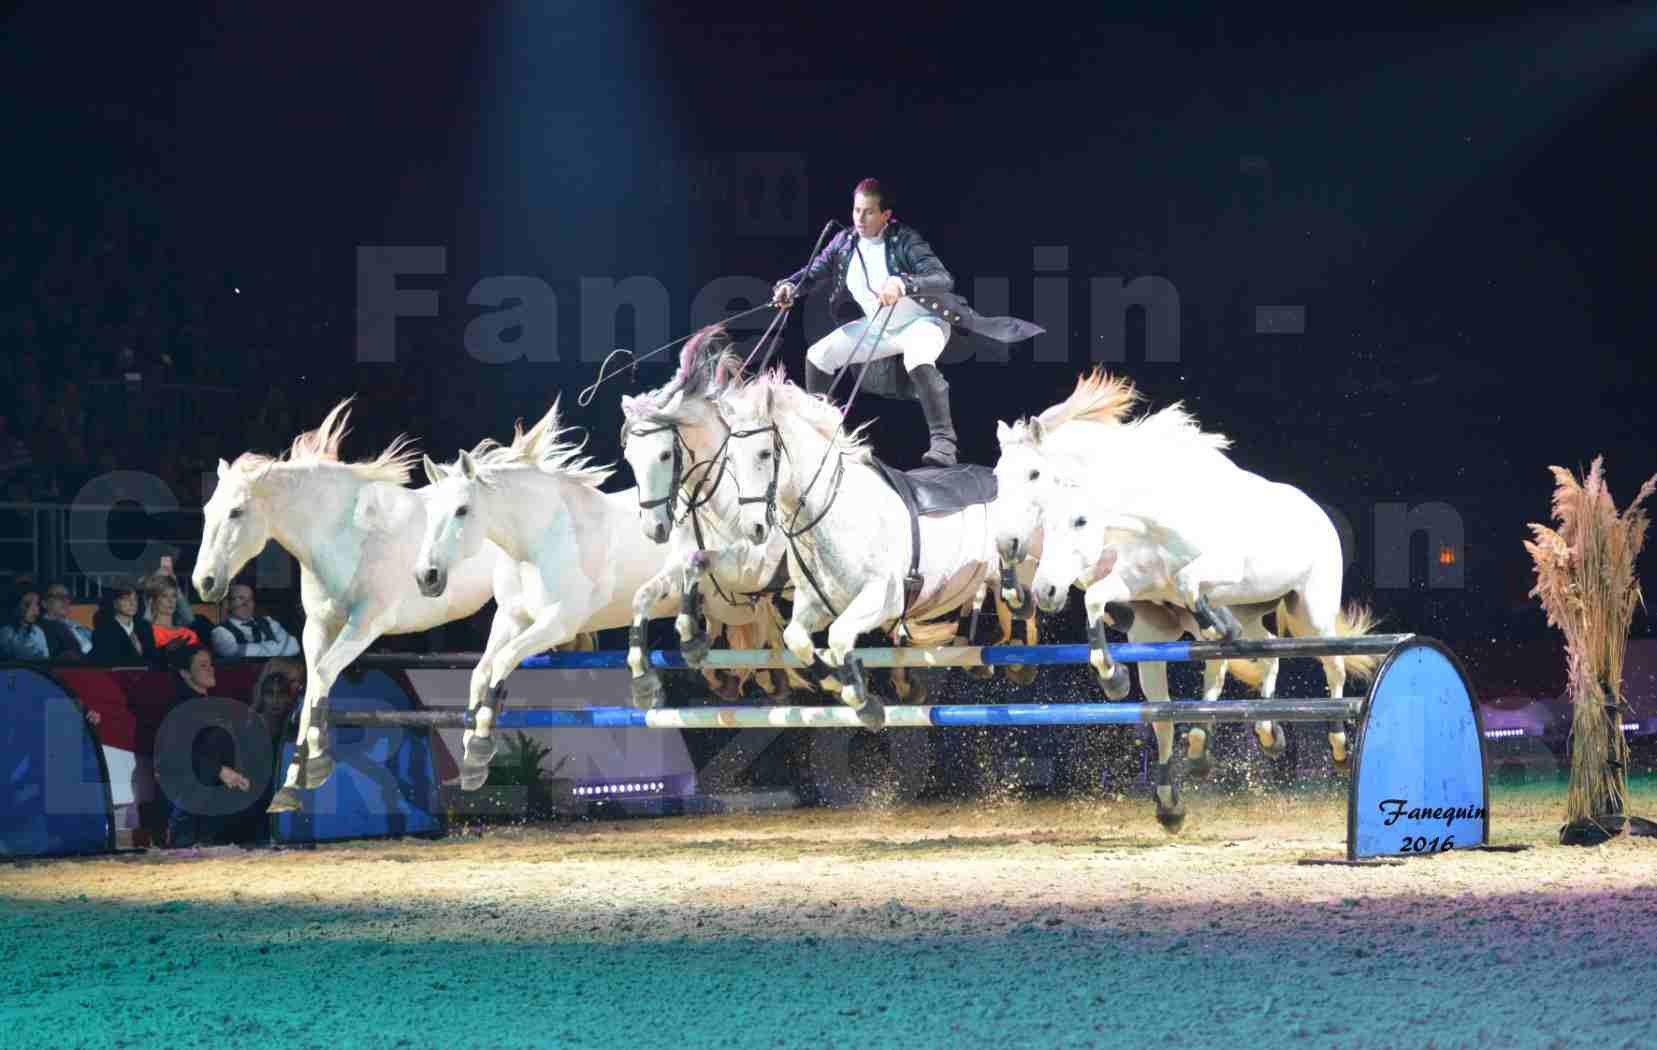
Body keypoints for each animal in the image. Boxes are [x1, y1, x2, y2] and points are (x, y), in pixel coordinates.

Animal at [191, 395, 510, 814]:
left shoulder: (366, 625)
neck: (346, 533)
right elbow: (313, 685)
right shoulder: (318, 626)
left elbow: (325, 675)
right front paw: (294, 783)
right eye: (207, 510)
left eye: (236, 511)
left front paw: (316, 765)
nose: (204, 583)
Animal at [725, 364, 1020, 722]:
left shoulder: (883, 598)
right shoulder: (815, 602)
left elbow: (839, 638)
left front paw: (863, 702)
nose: (753, 527)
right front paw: (835, 681)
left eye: (765, 453)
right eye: (729, 458)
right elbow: (796, 639)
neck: (830, 515)